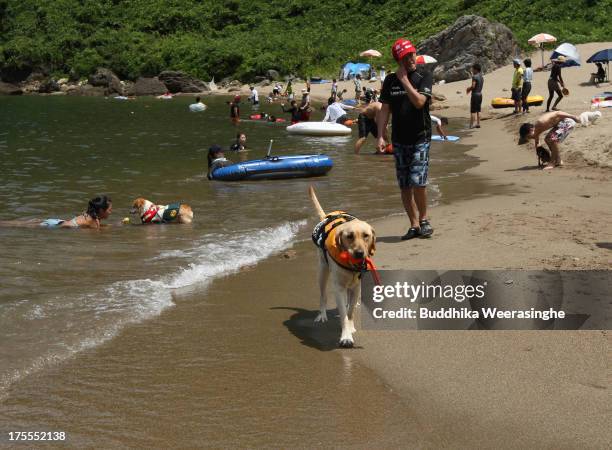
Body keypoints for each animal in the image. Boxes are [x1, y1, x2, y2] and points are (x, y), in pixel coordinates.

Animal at [308, 186, 376, 348]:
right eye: (349, 236)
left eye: (366, 235)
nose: (359, 253)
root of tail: (327, 216)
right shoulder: (338, 288)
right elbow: (344, 314)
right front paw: (346, 336)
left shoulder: (357, 285)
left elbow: (349, 311)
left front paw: (350, 327)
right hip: (322, 271)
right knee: (323, 296)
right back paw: (322, 315)